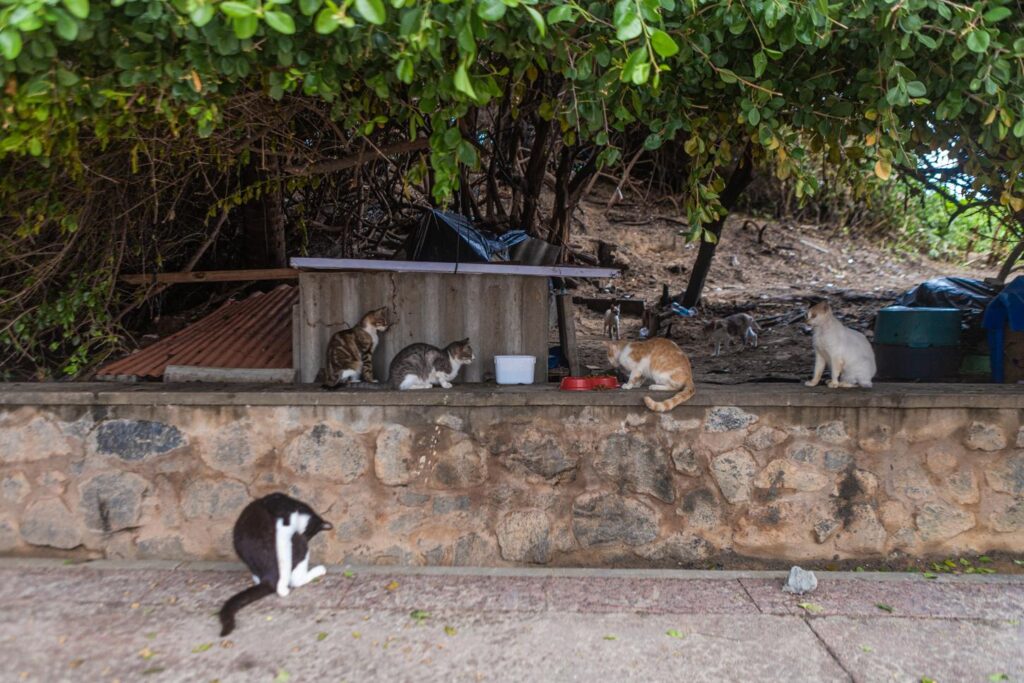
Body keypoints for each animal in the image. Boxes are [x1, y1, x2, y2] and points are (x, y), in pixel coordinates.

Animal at [219, 493, 331, 638]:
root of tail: (268, 578)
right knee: (295, 578)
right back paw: (317, 571)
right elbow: (284, 560)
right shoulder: (284, 527)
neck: (296, 508)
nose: (306, 537)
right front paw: (282, 589)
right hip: (298, 544)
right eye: (310, 534)